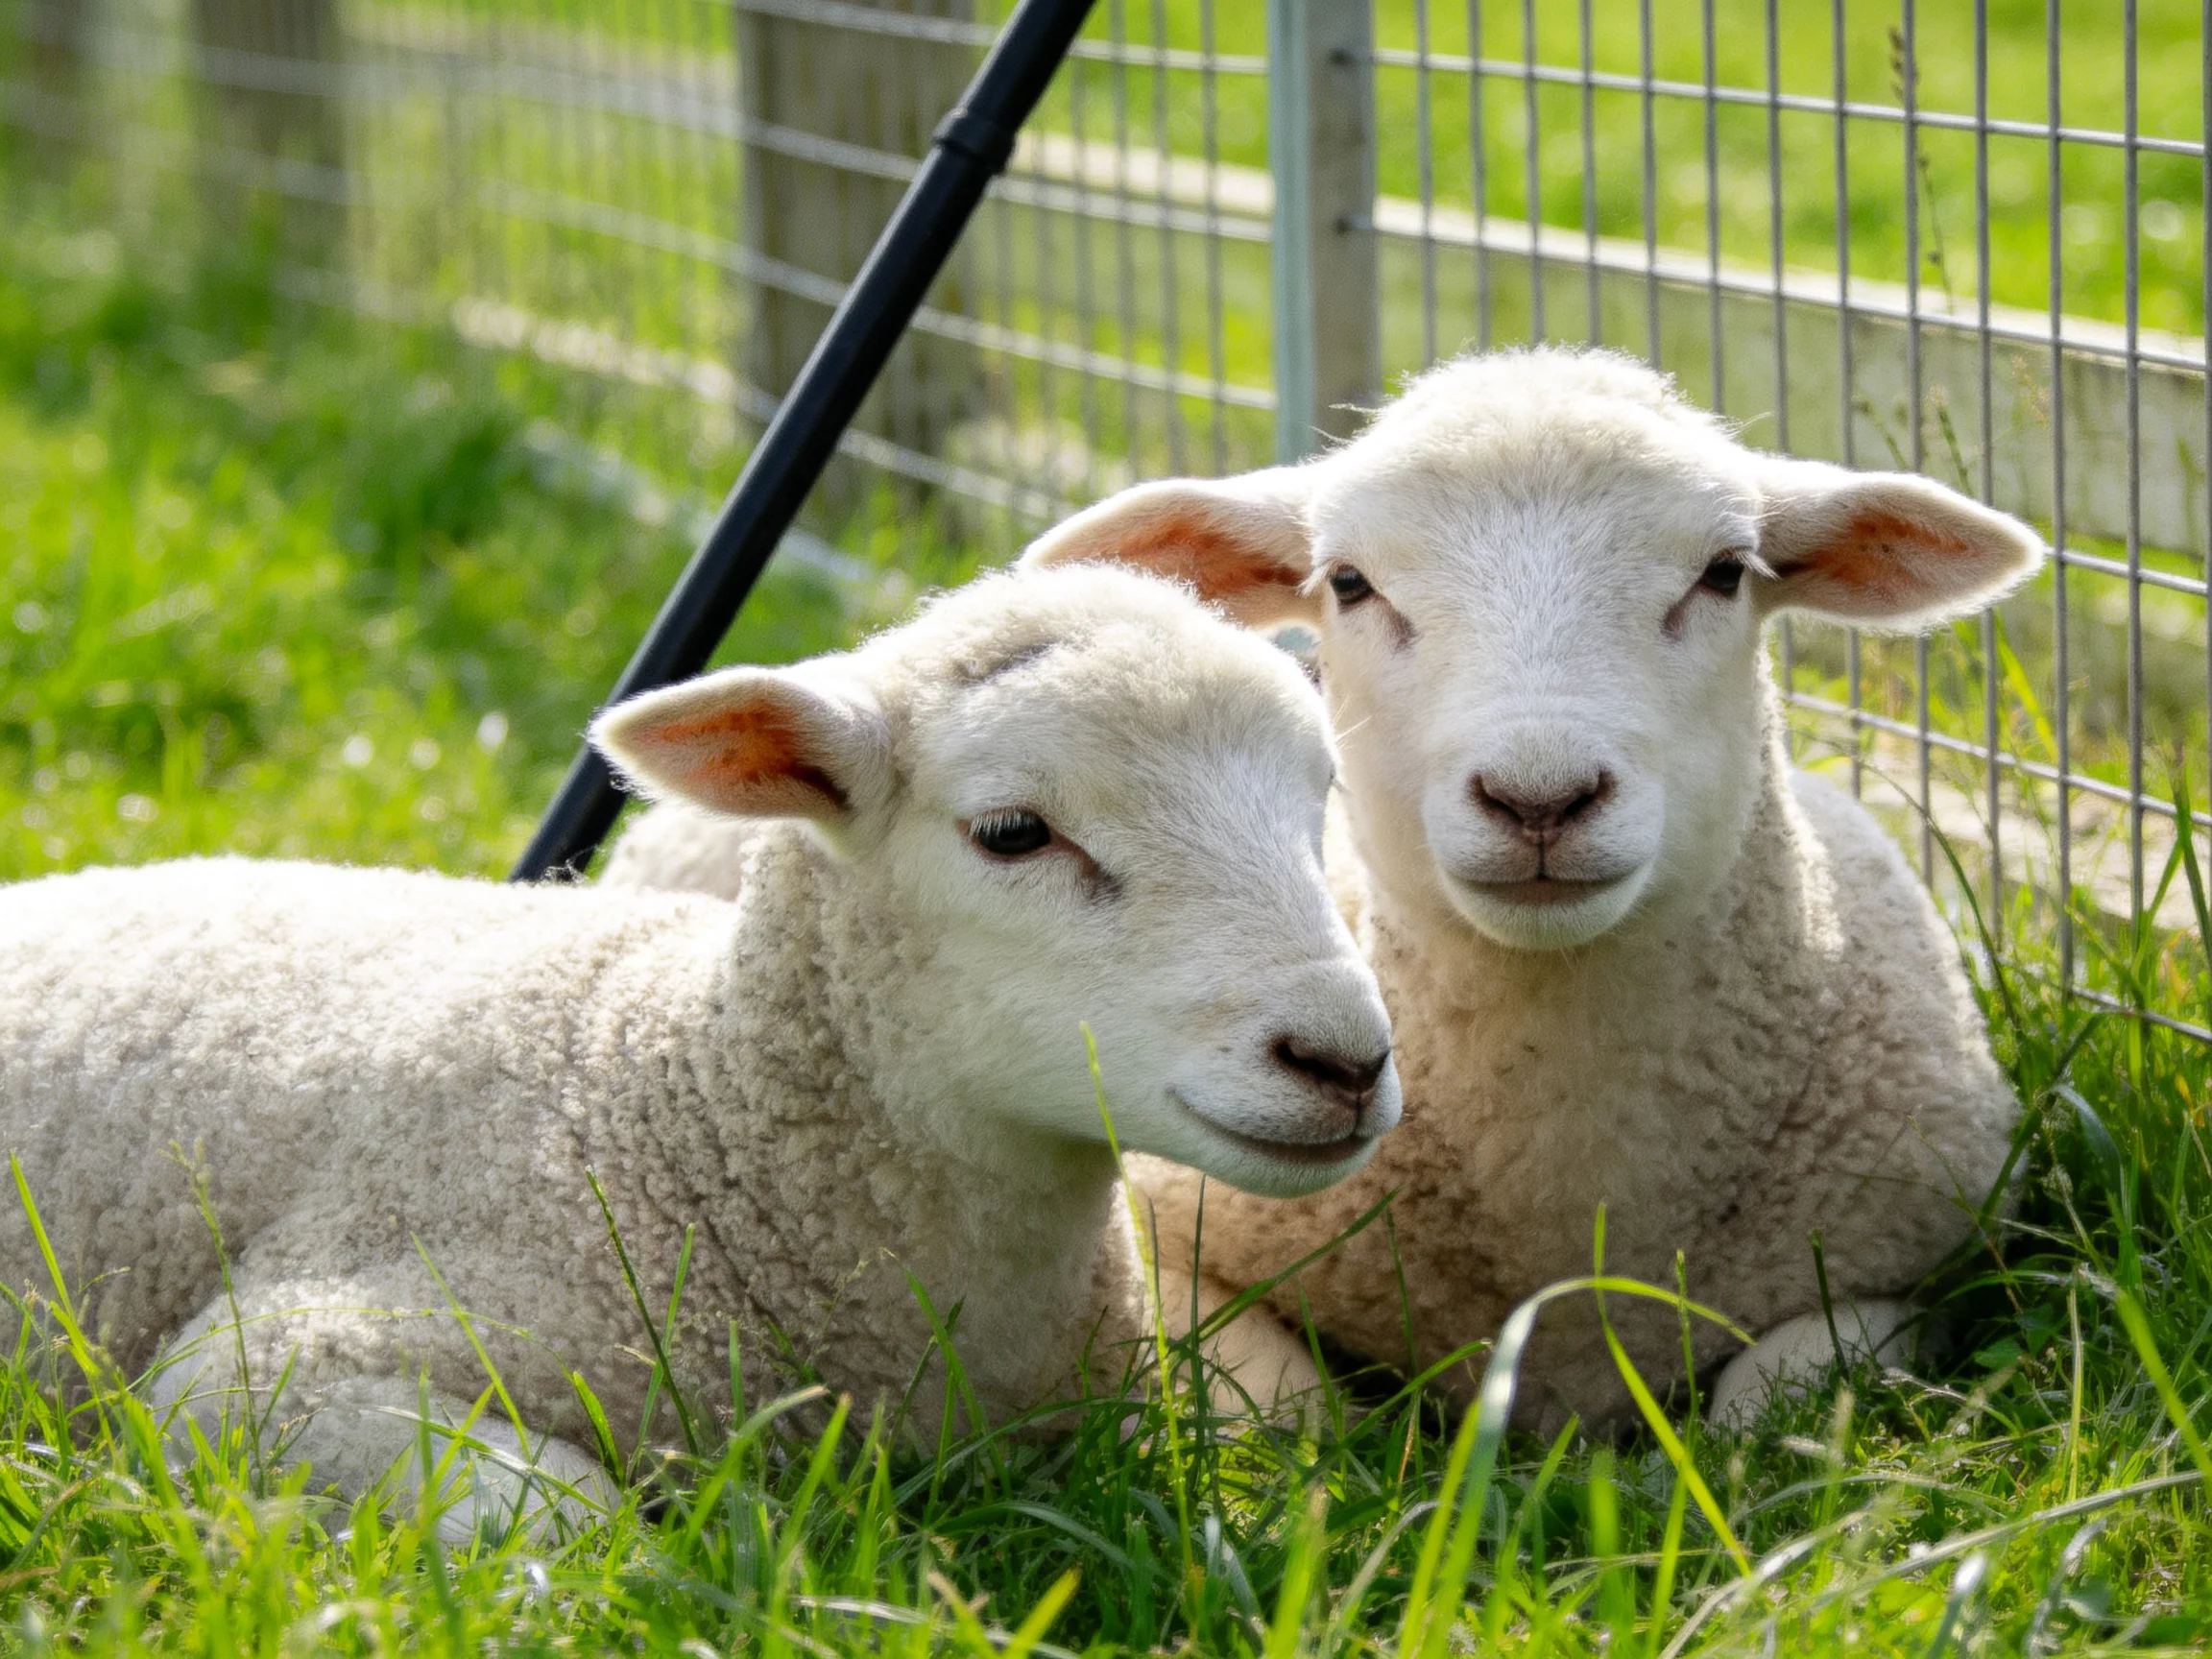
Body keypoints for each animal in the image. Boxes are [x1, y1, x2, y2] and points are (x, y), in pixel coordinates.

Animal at [1005, 346, 2043, 1431]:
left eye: (1723, 573)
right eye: (1350, 583)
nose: (1539, 798)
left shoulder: (1914, 1270)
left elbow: (1772, 1410)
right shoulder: (1167, 1235)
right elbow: (1291, 1414)